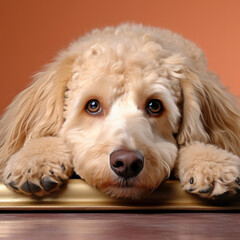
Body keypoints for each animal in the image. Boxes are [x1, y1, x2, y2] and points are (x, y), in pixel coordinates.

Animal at [0, 24, 240, 200]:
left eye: (155, 106)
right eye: (93, 105)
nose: (127, 163)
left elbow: (196, 140)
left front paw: (211, 164)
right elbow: (43, 135)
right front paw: (35, 161)